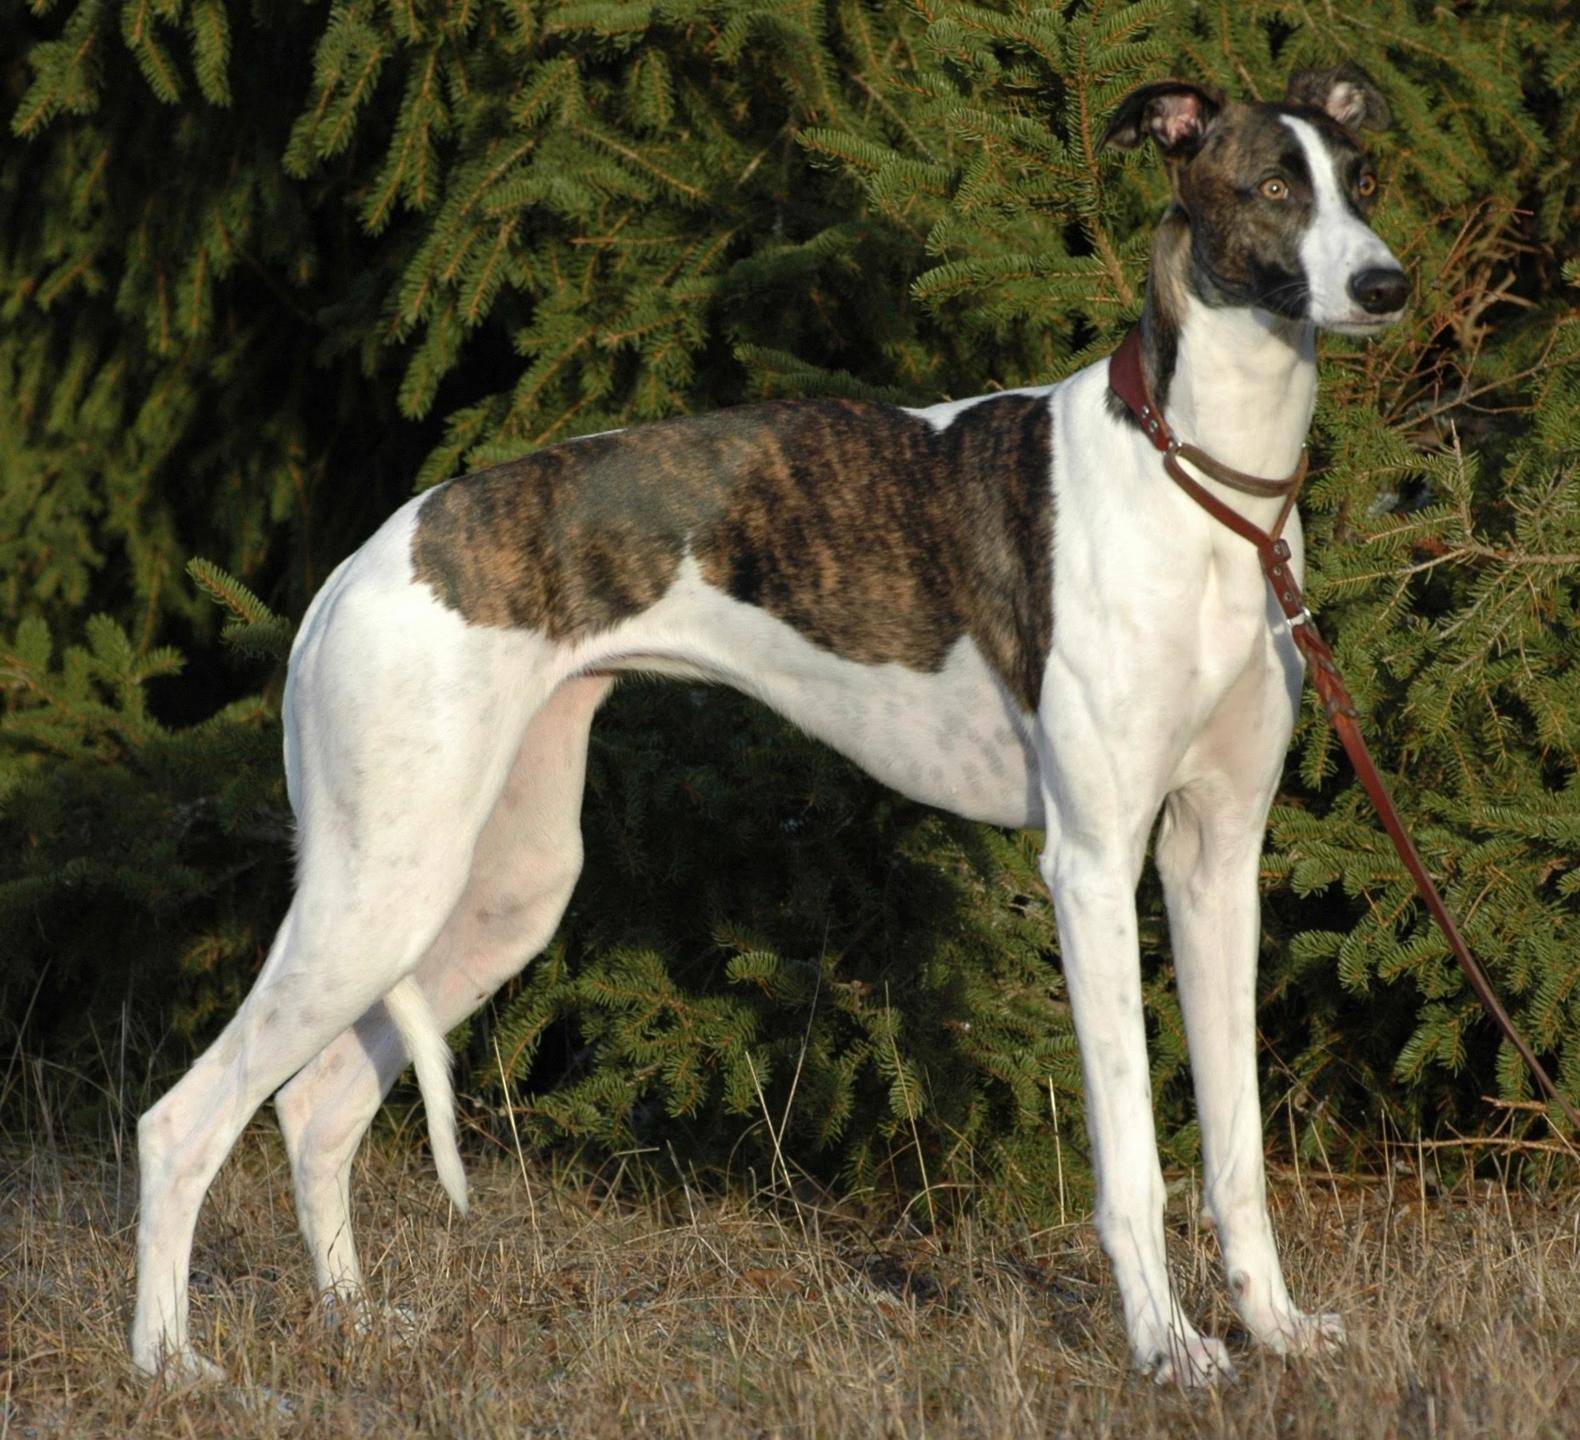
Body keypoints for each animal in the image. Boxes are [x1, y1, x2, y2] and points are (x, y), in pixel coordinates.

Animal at [129, 59, 1403, 1384]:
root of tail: (354, 568)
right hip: (382, 883)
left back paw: (352, 1320)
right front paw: (1168, 1349)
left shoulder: (1214, 857)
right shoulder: (1093, 864)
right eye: (1269, 188)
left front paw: (1275, 1328)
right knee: (181, 1120)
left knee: (314, 1103)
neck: (1200, 480)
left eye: (1360, 178)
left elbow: (1235, 1149)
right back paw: (172, 1365)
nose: (1384, 286)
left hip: (495, 892)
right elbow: (1132, 1161)